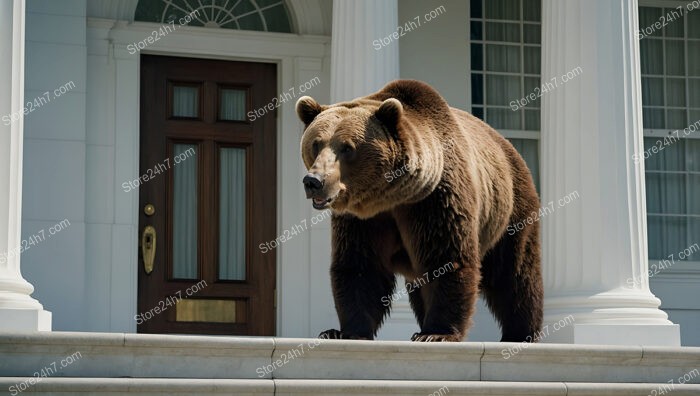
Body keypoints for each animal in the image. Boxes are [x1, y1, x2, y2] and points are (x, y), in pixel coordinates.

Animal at [296, 79, 540, 342]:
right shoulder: (363, 219)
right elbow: (360, 266)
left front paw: (437, 333)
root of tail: (506, 144)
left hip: (510, 208)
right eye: (316, 144)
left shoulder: (433, 202)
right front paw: (342, 331)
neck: (390, 197)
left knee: (515, 273)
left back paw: (521, 333)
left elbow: (446, 259)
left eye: (347, 148)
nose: (313, 181)